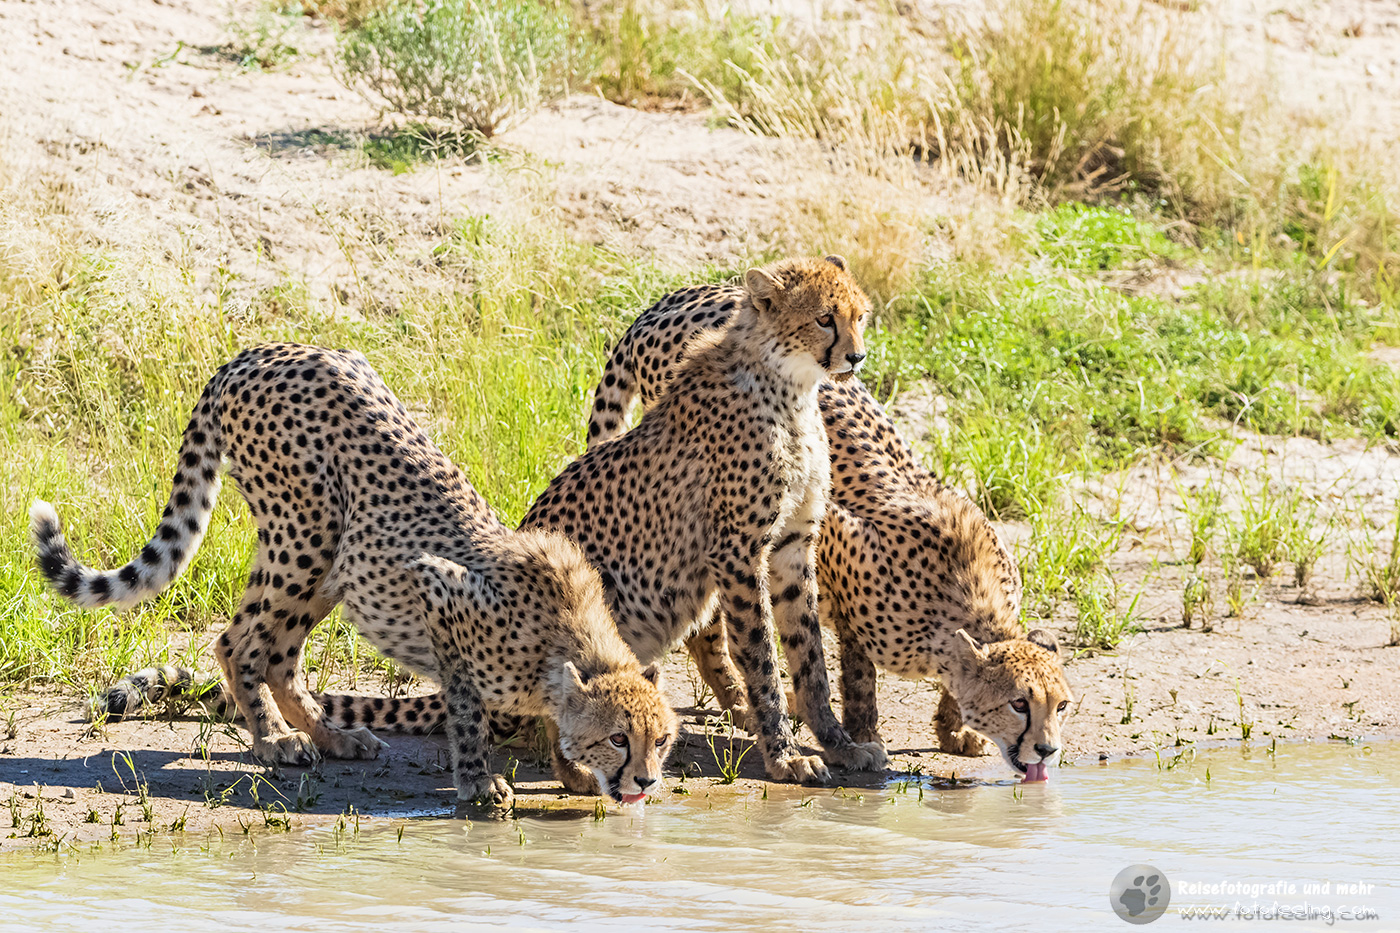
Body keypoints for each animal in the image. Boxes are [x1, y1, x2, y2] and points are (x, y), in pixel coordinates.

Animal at [30, 343, 677, 809]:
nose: (645, 782)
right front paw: (478, 782)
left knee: (273, 652)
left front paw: (573, 772)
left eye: (662, 739)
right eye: (620, 738)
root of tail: (259, 351)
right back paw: (274, 740)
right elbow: (467, 706)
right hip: (306, 533)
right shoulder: (438, 589)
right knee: (238, 642)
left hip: (330, 564)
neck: (568, 635)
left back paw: (330, 736)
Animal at [521, 254, 889, 786]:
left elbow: (809, 654)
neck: (791, 388)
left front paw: (840, 744)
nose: (857, 358)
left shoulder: (793, 543)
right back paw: (580, 774)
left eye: (860, 316)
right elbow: (761, 655)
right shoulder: (738, 551)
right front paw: (784, 755)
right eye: (824, 318)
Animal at [584, 281, 1075, 781]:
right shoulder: (832, 545)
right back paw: (743, 705)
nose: (1048, 751)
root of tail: (672, 299)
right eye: (1019, 704)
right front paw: (863, 732)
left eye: (1062, 706)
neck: (963, 591)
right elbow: (855, 671)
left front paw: (953, 728)